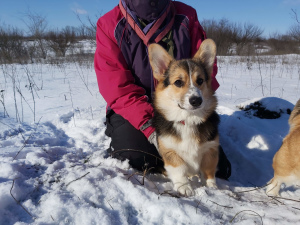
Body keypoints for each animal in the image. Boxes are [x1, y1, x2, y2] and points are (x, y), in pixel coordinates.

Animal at [149, 39, 219, 197]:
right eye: (178, 82)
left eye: (200, 80)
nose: (196, 100)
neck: (188, 120)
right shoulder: (170, 151)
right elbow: (179, 169)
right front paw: (184, 187)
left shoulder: (211, 149)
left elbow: (208, 170)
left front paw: (211, 186)